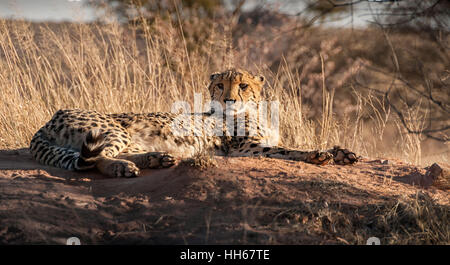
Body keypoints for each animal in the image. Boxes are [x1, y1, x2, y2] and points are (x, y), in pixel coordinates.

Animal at [29, 68, 356, 177]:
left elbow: (292, 144)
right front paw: (317, 154)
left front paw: (342, 152)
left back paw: (157, 158)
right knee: (97, 159)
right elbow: (289, 151)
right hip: (112, 129)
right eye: (220, 86)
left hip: (125, 137)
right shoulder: (243, 148)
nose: (229, 100)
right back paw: (123, 167)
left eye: (243, 86)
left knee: (114, 154)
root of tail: (51, 118)